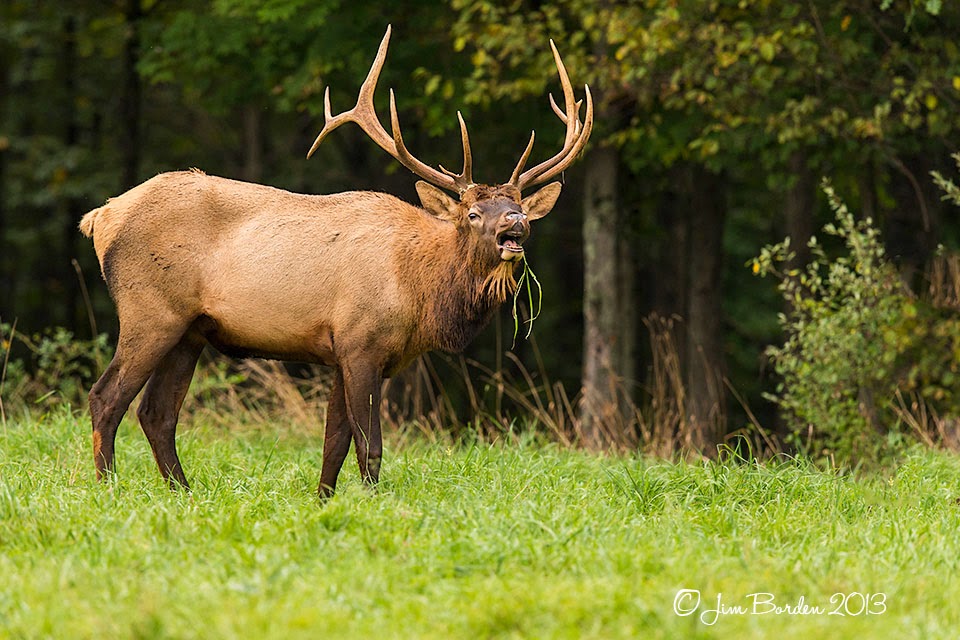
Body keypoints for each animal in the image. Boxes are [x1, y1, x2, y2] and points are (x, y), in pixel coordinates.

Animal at [79, 26, 592, 498]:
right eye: (472, 213)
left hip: (190, 331)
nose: (515, 224)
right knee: (106, 397)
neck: (419, 289)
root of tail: (100, 217)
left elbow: (334, 441)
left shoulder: (344, 353)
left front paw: (323, 498)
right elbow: (370, 443)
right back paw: (108, 488)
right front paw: (370, 500)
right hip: (150, 310)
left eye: (519, 206)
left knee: (156, 412)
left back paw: (183, 491)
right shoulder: (360, 341)